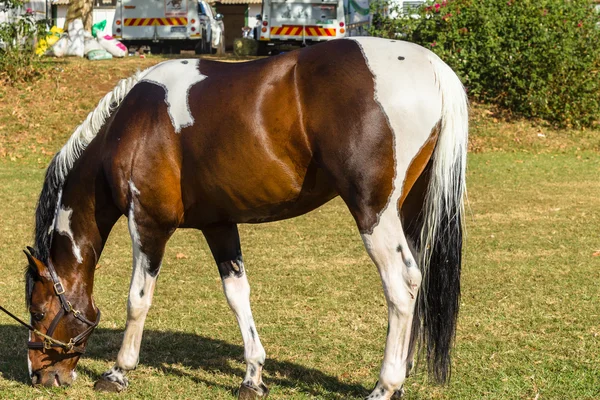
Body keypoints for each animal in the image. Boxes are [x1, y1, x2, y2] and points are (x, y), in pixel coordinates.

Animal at [16, 36, 468, 396]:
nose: (39, 375)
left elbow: (137, 300)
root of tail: (432, 65)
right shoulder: (218, 225)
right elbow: (237, 295)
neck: (132, 127)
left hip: (374, 214)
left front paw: (118, 372)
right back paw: (401, 377)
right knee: (415, 284)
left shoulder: (148, 224)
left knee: (402, 285)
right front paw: (253, 376)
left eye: (37, 312)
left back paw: (385, 385)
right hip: (409, 213)